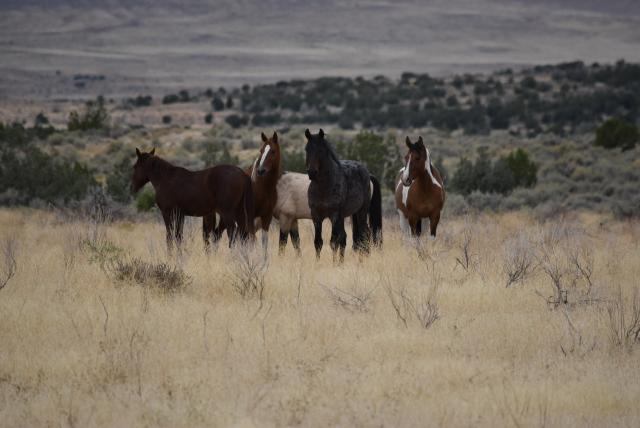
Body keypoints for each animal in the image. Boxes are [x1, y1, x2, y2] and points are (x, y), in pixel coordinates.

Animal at [304, 127, 382, 260]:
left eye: (321, 150)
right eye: (307, 149)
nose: (312, 172)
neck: (324, 188)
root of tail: (368, 174)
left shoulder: (334, 215)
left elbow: (334, 242)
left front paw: (335, 263)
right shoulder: (316, 216)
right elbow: (318, 242)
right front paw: (319, 262)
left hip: (361, 212)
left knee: (364, 233)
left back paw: (363, 259)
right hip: (350, 215)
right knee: (350, 237)